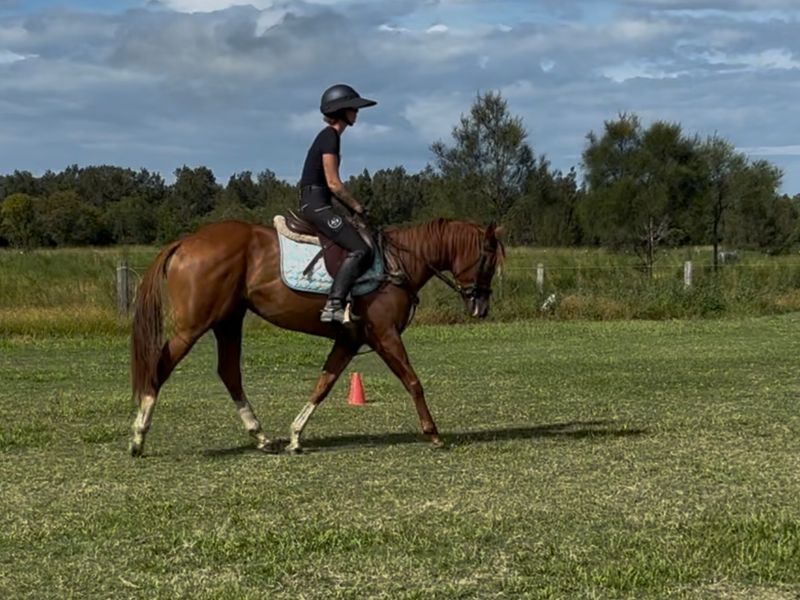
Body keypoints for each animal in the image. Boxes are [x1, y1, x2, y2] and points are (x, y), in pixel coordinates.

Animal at [129, 217, 504, 456]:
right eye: (487, 260)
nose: (482, 306)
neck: (397, 265)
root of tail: (185, 242)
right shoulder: (384, 336)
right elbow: (413, 381)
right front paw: (433, 432)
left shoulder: (350, 340)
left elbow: (324, 383)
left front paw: (296, 436)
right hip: (194, 325)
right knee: (160, 368)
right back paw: (138, 437)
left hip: (228, 320)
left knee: (229, 372)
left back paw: (261, 437)